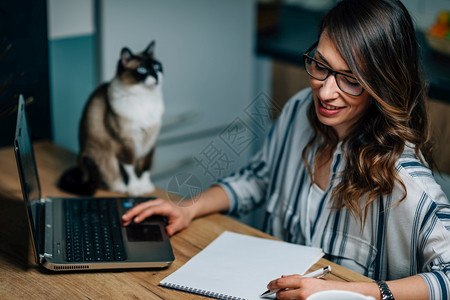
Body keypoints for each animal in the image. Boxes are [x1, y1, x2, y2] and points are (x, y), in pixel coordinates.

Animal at [59, 41, 164, 196]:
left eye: (157, 67)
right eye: (142, 70)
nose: (156, 75)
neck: (145, 98)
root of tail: (81, 170)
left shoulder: (150, 142)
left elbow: (145, 167)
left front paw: (146, 187)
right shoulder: (124, 143)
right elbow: (131, 169)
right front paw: (135, 189)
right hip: (100, 155)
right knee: (109, 176)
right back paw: (121, 187)